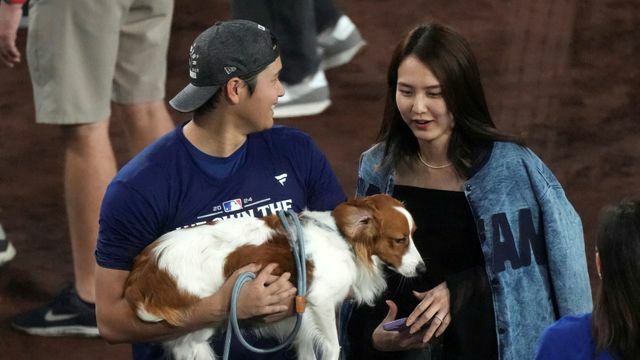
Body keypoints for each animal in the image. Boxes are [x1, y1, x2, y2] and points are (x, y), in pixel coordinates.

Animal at [125, 194, 424, 360]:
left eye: (412, 235)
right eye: (400, 240)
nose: (422, 270)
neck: (343, 240)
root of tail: (146, 267)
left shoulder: (301, 319)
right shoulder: (321, 302)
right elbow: (333, 346)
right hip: (200, 320)